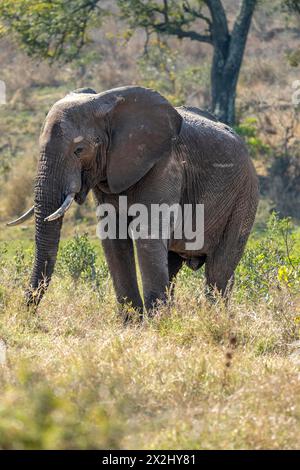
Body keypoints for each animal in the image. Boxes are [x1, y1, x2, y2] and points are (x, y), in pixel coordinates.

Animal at [8, 85, 258, 312]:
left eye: (79, 150)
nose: (27, 312)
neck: (105, 103)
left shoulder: (164, 165)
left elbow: (147, 232)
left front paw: (157, 324)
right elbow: (113, 236)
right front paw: (134, 322)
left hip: (244, 197)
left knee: (218, 270)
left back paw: (213, 317)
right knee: (173, 264)